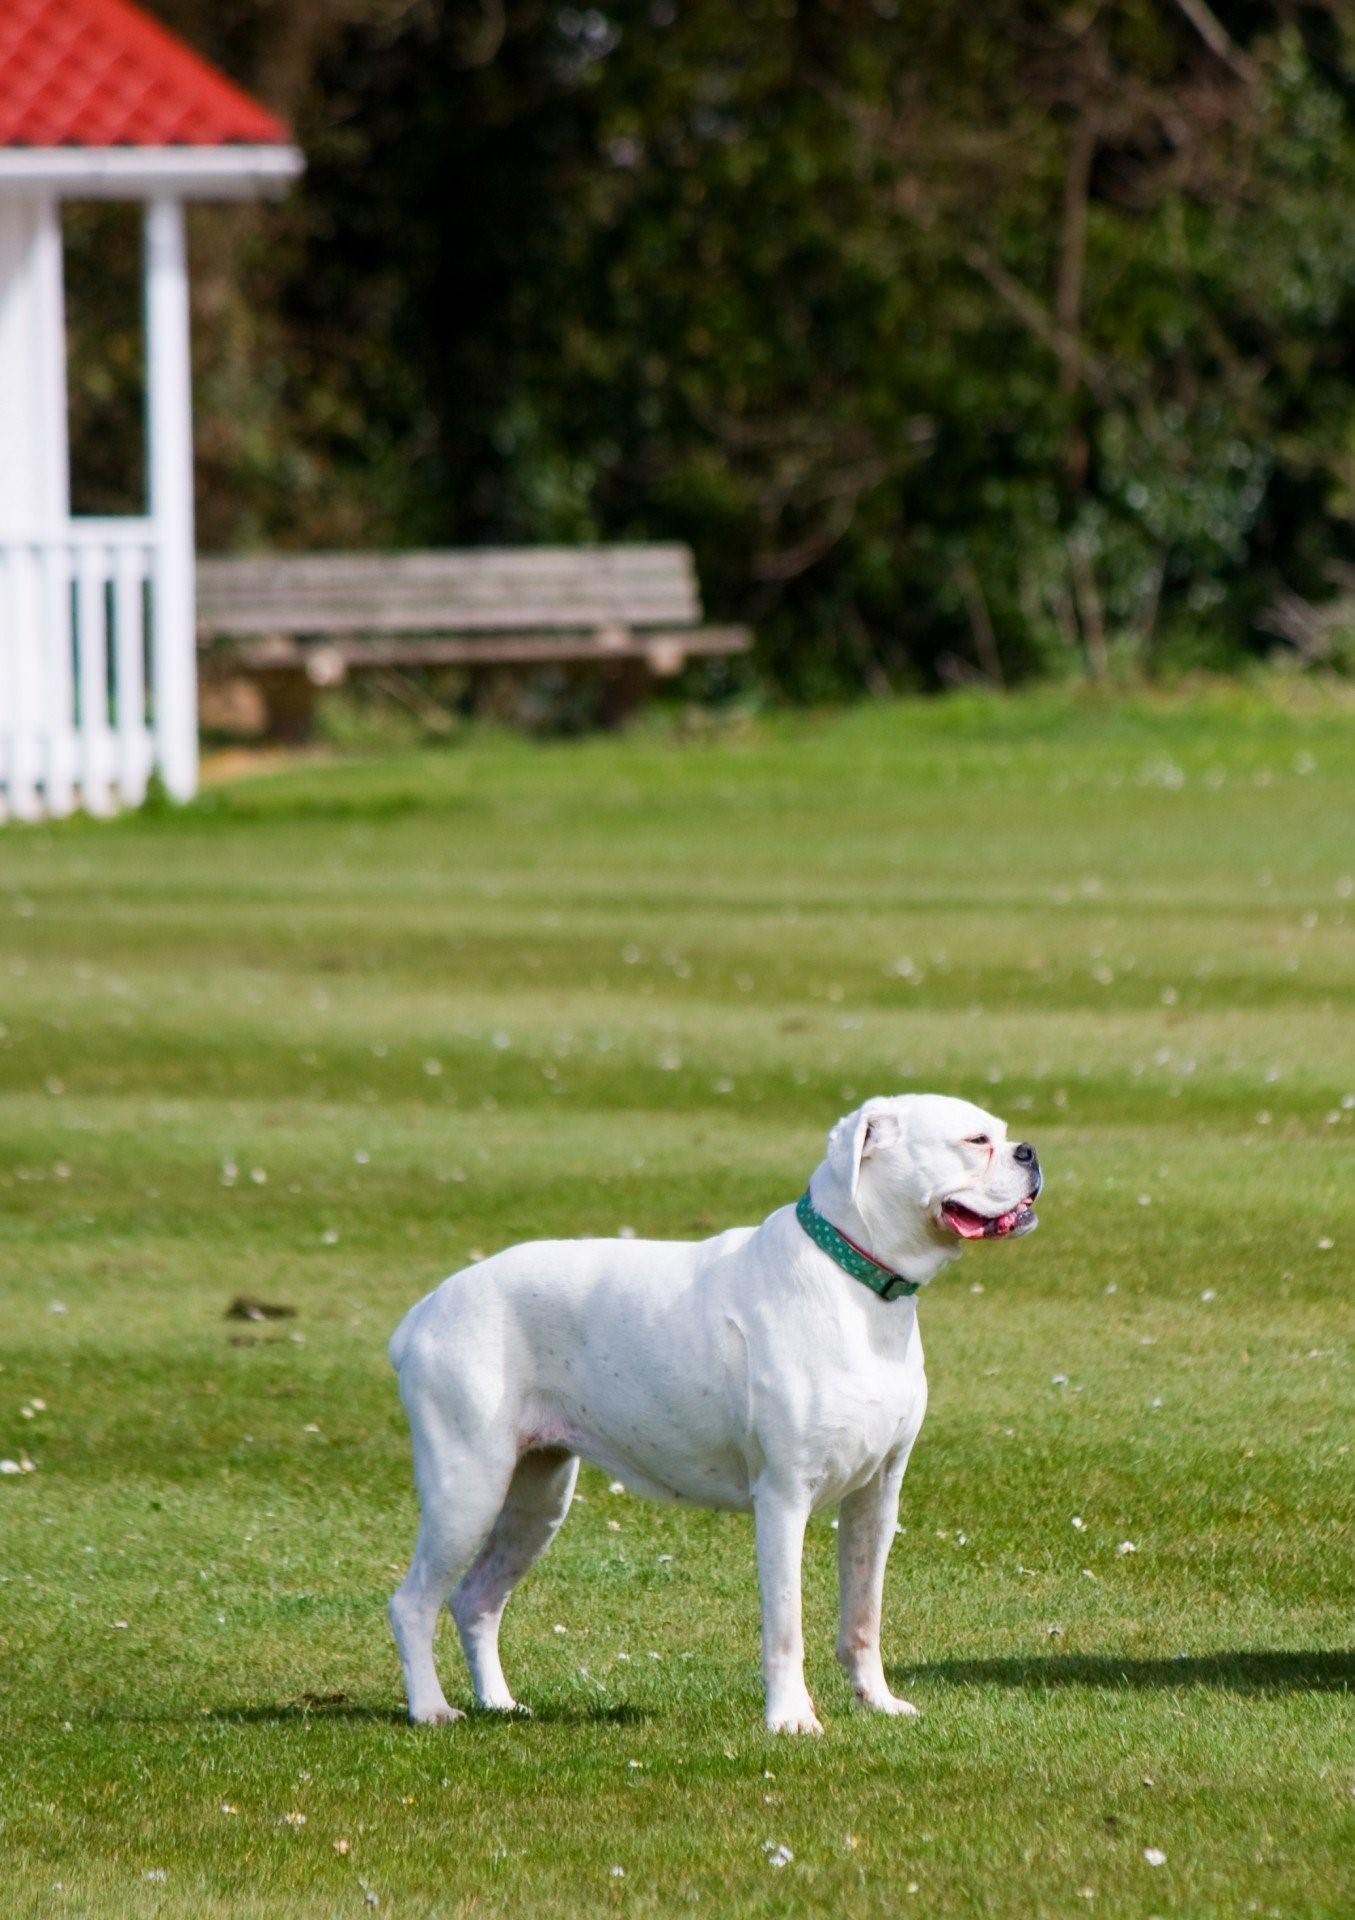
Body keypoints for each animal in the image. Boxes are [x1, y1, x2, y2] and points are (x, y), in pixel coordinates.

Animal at [385, 1090, 1036, 1735]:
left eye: (1003, 1133)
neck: (856, 1282)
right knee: (412, 1602)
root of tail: (425, 1309)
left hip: (535, 1501)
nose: (1029, 1151)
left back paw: (498, 1704)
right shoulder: (783, 1498)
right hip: (469, 1488)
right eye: (976, 1141)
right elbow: (786, 1625)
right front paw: (790, 1718)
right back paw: (431, 1709)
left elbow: (863, 1616)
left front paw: (876, 1701)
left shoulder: (876, 1497)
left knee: (476, 1599)